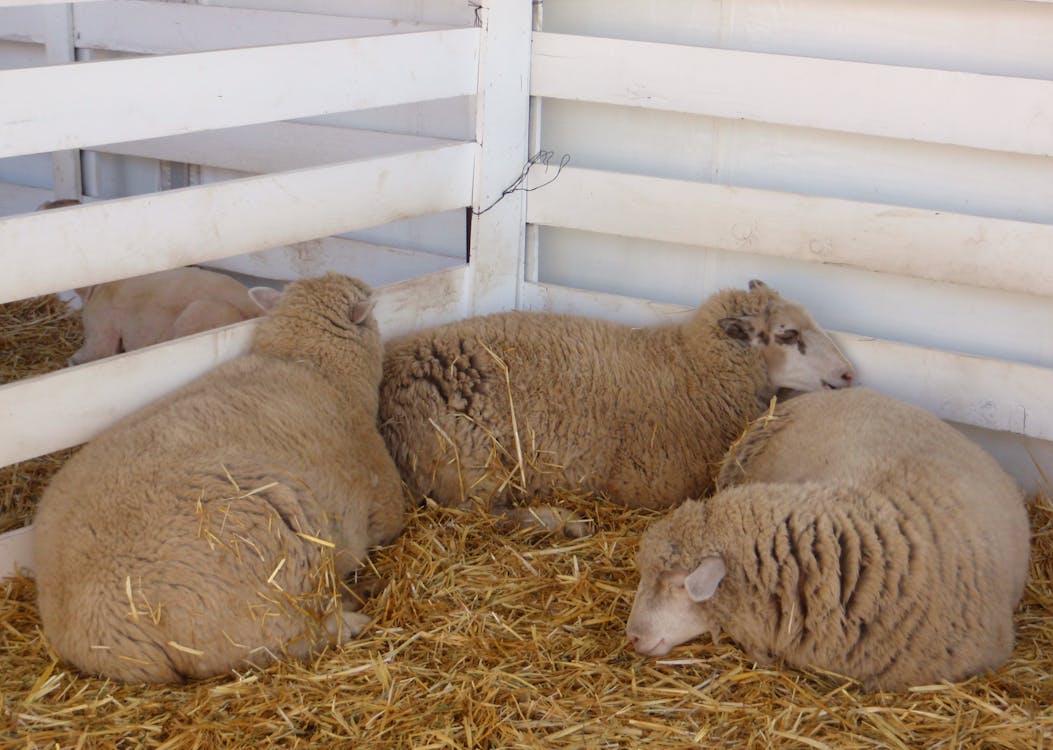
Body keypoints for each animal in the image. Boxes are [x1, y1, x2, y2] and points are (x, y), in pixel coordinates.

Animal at [381, 275, 855, 533]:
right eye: (788, 334)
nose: (849, 374)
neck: (691, 368)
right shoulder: (649, 485)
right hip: (469, 465)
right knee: (479, 514)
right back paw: (564, 522)